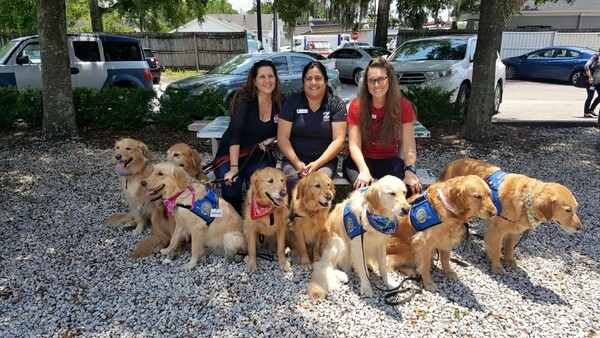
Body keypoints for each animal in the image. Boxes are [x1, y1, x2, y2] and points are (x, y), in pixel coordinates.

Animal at [440, 158, 580, 274]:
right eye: (568, 210)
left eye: (576, 208)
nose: (580, 228)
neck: (526, 201)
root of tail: (451, 164)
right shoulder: (497, 231)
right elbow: (496, 250)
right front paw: (497, 267)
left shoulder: (513, 230)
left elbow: (510, 247)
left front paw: (508, 260)